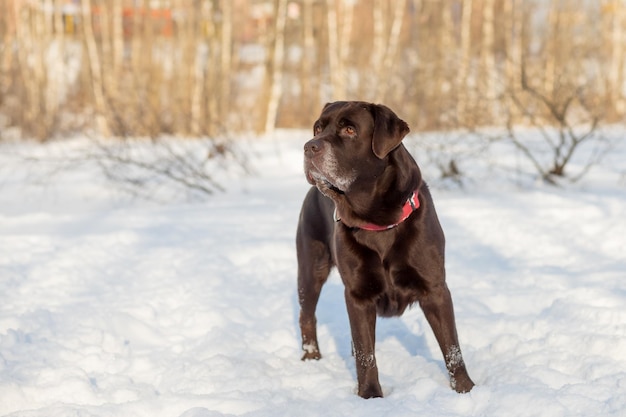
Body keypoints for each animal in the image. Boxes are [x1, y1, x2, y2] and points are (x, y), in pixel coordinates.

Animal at [294, 100, 470, 396]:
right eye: (318, 128)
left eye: (350, 129)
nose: (309, 146)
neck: (377, 221)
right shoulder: (358, 293)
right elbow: (367, 354)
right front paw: (370, 396)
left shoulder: (435, 288)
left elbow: (451, 347)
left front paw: (466, 389)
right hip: (310, 267)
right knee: (307, 316)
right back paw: (311, 358)